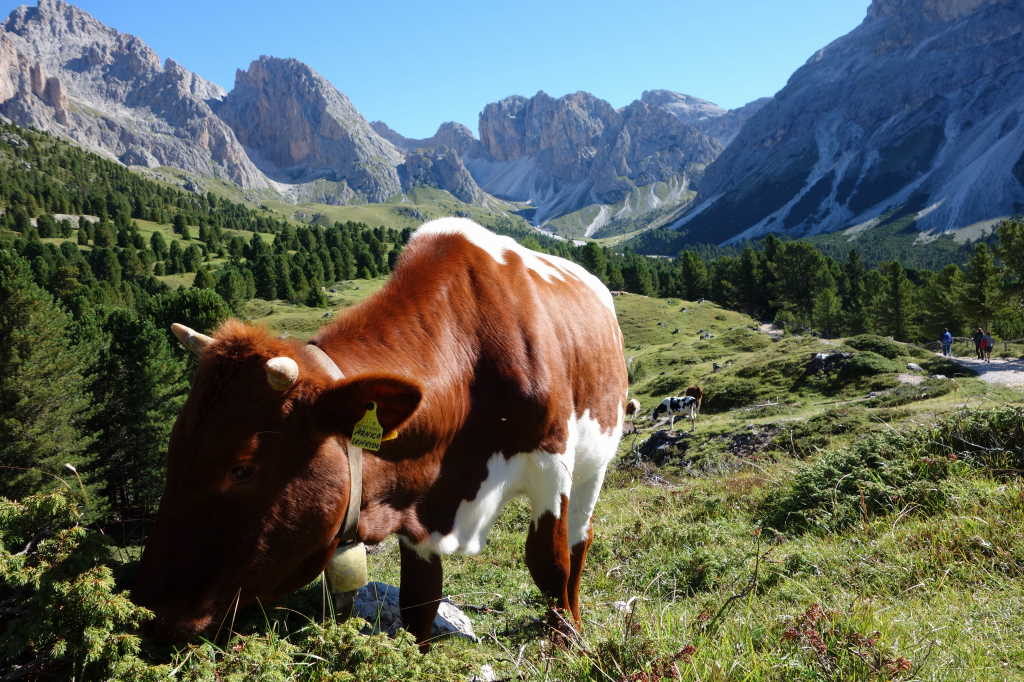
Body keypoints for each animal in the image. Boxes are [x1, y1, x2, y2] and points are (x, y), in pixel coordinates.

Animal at [134, 216, 630, 643]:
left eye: (242, 468)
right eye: (174, 449)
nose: (151, 608)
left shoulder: (550, 462)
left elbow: (549, 562)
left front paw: (566, 641)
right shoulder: (418, 503)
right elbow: (420, 598)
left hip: (595, 462)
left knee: (579, 541)